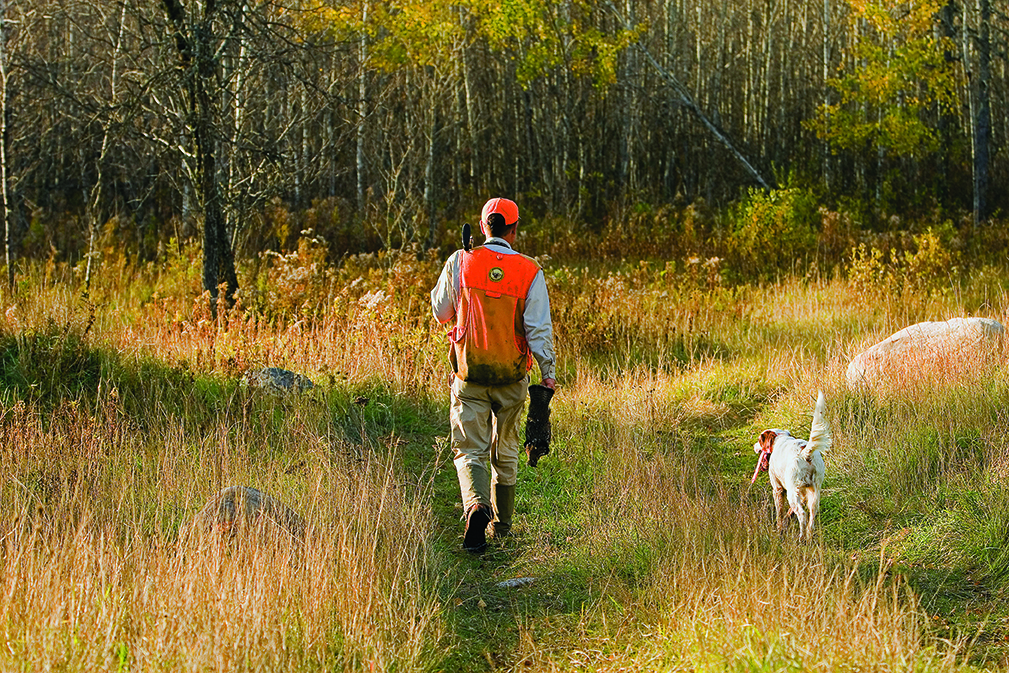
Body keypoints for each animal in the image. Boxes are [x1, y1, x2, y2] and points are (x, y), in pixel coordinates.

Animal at [750, 389, 827, 540]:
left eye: (759, 440)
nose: (755, 446)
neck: (780, 438)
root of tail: (805, 453)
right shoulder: (803, 494)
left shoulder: (778, 489)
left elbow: (780, 512)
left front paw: (779, 528)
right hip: (814, 492)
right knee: (812, 516)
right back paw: (809, 537)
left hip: (792, 491)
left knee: (802, 515)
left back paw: (801, 538)